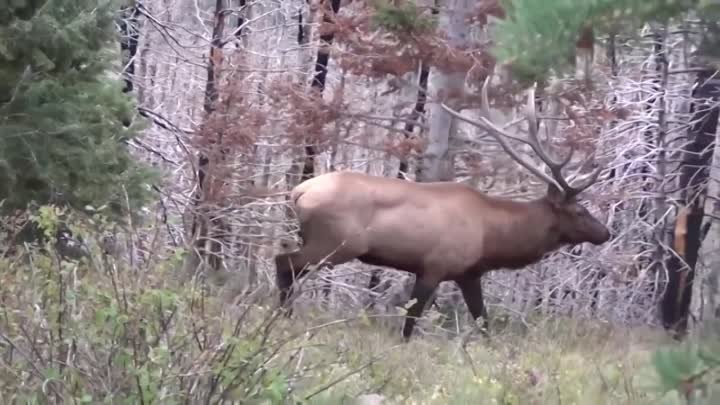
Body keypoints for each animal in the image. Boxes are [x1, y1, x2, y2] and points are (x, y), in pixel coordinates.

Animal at [272, 77, 612, 340]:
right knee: (284, 262)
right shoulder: (434, 264)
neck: (491, 236)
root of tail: (298, 192)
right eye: (580, 211)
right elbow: (411, 319)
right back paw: (283, 316)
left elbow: (482, 320)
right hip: (338, 242)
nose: (606, 233)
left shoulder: (469, 273)